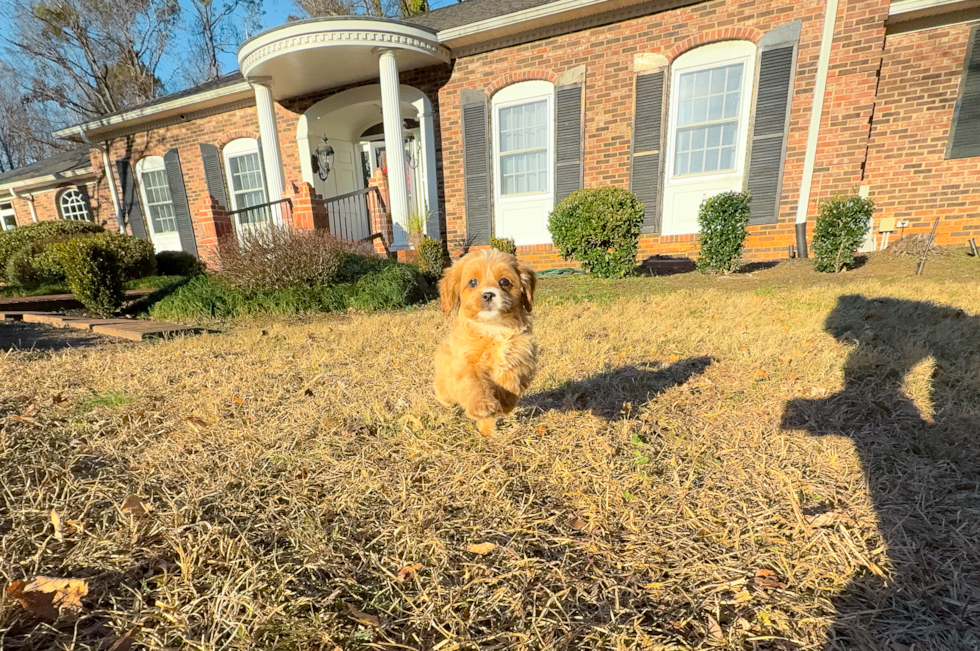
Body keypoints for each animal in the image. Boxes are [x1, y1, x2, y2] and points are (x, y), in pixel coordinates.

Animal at [436, 247, 540, 436]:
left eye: (504, 281)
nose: (488, 294)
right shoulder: (464, 362)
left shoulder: (524, 352)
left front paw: (506, 400)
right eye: (472, 282)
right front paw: (482, 406)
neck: (492, 327)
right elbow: (473, 384)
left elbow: (512, 374)